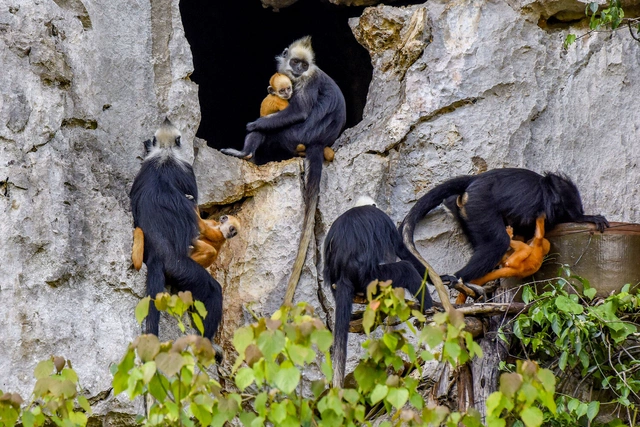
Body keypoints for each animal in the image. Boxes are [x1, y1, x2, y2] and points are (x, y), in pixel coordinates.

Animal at [221, 36, 350, 304]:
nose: (298, 69)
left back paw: (246, 153)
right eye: (295, 62)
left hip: (294, 135)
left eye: (304, 65)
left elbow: (297, 111)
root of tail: (319, 142)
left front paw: (254, 124)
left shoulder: (307, 81)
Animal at [322, 199, 432, 390]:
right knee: (405, 269)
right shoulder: (384, 220)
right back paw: (433, 308)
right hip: (374, 279)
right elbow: (401, 250)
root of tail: (344, 273)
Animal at [400, 168, 608, 290]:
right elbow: (564, 197)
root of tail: (476, 180)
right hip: (479, 205)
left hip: (467, 210)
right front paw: (585, 217)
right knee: (497, 242)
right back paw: (458, 277)